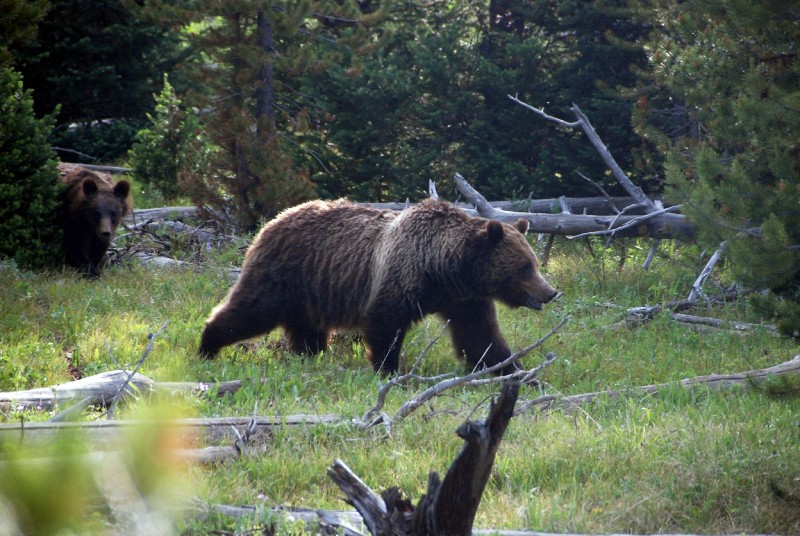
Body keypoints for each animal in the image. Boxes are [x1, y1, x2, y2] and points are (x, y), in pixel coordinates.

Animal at [200, 199, 560, 374]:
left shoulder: (464, 300)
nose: (551, 292)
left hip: (312, 290)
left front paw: (517, 372)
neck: (444, 268)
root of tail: (273, 220)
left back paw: (311, 355)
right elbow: (385, 326)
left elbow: (481, 337)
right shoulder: (399, 280)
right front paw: (389, 371)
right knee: (250, 310)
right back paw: (207, 346)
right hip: (284, 275)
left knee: (307, 330)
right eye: (525, 267)